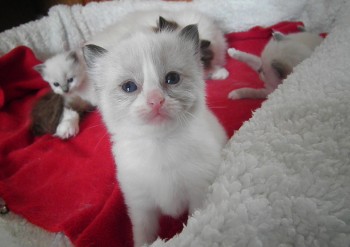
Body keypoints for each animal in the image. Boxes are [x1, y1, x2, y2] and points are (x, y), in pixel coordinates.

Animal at [82, 25, 227, 247]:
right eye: (129, 87)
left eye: (172, 79)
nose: (155, 100)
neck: (160, 145)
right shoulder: (141, 207)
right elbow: (143, 237)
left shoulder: (199, 192)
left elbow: (195, 225)